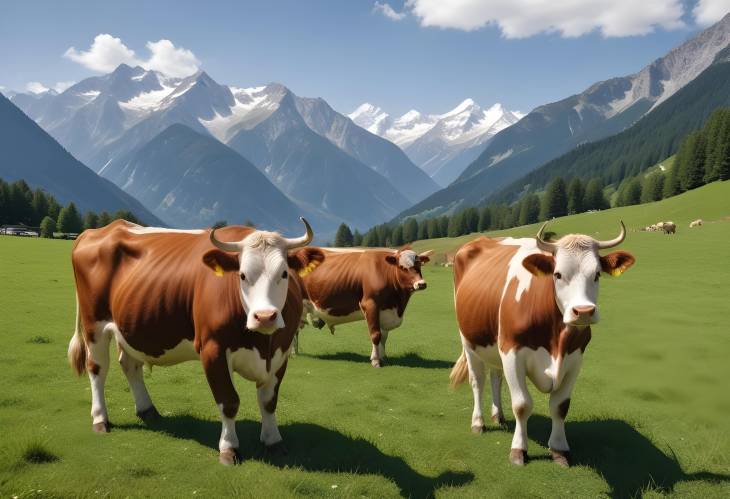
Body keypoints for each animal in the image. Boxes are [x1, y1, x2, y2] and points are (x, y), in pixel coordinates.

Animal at [67, 219, 322, 464]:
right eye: (242, 275)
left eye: (284, 273)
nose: (265, 316)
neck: (262, 344)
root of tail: (99, 230)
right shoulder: (213, 349)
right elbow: (229, 401)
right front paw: (229, 448)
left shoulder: (281, 352)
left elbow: (269, 402)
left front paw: (273, 441)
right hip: (94, 325)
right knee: (97, 368)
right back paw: (100, 419)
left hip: (129, 326)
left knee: (130, 365)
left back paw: (147, 410)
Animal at [288, 246, 430, 368]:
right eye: (402, 267)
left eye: (419, 265)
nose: (421, 284)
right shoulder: (370, 304)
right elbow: (375, 334)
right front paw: (375, 360)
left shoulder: (385, 311)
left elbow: (384, 337)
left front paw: (383, 358)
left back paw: (294, 353)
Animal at [446, 223, 636, 468]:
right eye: (558, 274)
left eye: (597, 274)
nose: (583, 311)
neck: (556, 340)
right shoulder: (512, 352)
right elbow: (522, 405)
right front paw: (519, 450)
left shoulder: (576, 358)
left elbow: (560, 406)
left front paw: (559, 449)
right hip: (469, 341)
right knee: (477, 381)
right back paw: (478, 422)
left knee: (496, 377)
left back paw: (498, 415)